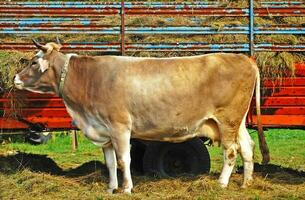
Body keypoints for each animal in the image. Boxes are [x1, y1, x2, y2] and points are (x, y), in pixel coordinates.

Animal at [14, 39, 268, 194]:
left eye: (34, 62)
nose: (15, 78)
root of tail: (244, 58)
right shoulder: (104, 132)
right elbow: (110, 163)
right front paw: (111, 188)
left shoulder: (120, 127)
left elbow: (123, 160)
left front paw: (126, 188)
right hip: (237, 122)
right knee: (247, 146)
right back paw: (246, 183)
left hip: (227, 119)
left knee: (231, 150)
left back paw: (222, 183)